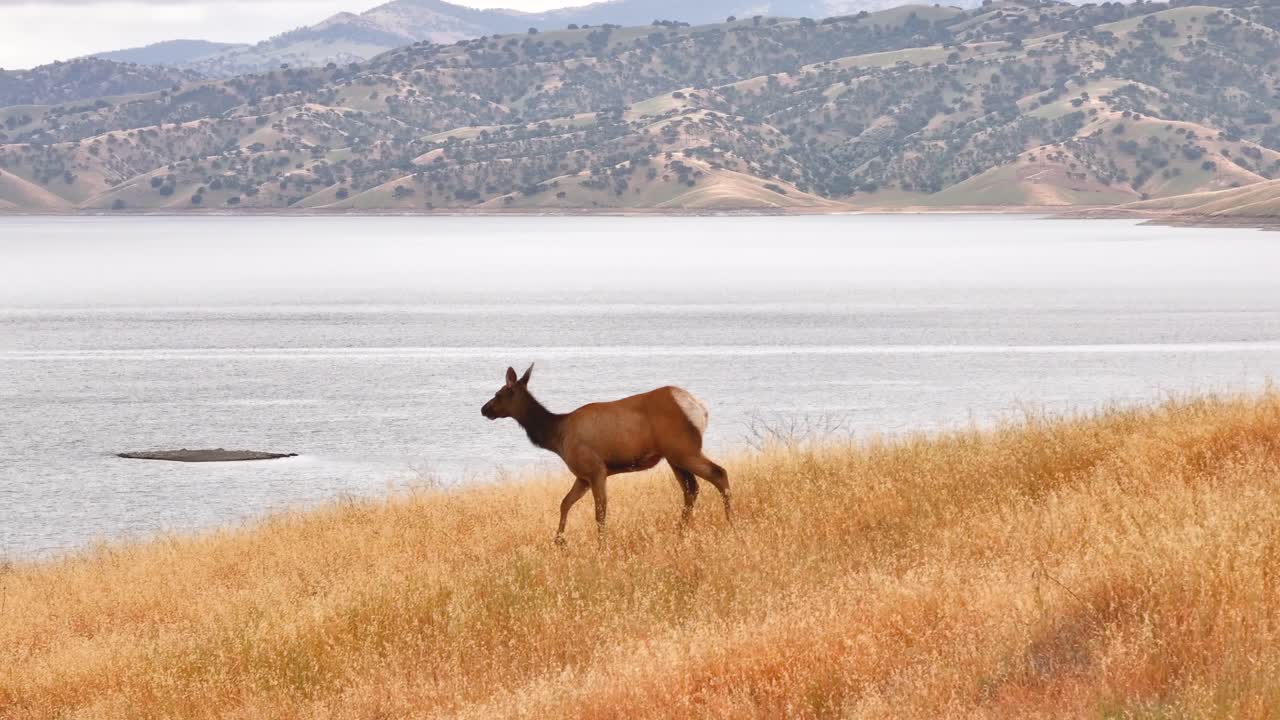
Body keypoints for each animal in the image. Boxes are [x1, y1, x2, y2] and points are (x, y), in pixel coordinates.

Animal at [481, 365, 730, 545]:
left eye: (498, 393)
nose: (484, 409)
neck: (557, 436)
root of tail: (700, 410)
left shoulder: (595, 469)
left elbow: (599, 512)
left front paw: (602, 546)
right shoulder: (582, 476)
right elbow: (564, 503)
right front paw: (559, 541)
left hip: (684, 449)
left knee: (719, 473)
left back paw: (730, 523)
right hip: (673, 456)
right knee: (691, 489)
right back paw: (680, 532)